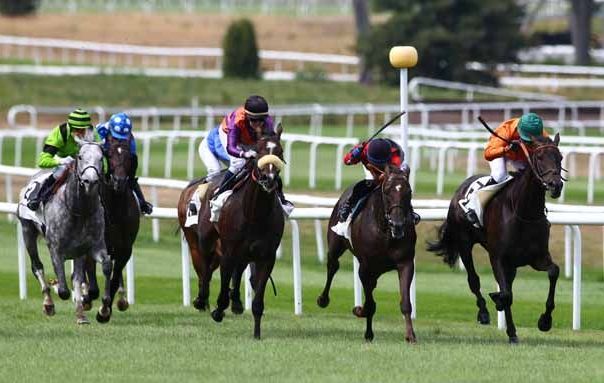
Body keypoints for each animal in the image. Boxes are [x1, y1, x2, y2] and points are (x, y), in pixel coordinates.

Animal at [17, 134, 112, 324]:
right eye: (80, 157)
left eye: (101, 158)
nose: (90, 181)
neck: (79, 209)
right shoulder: (55, 248)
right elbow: (63, 290)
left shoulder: (90, 247)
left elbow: (103, 266)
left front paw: (101, 311)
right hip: (27, 230)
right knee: (37, 266)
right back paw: (48, 304)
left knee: (76, 276)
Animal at [83, 135, 140, 320]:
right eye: (108, 155)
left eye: (129, 156)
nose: (119, 181)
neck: (114, 212)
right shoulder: (92, 246)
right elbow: (93, 284)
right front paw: (87, 299)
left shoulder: (125, 249)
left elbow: (114, 279)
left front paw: (104, 311)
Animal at [314, 164, 418, 342]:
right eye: (387, 191)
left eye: (408, 191)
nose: (397, 224)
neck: (385, 232)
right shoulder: (365, 267)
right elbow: (369, 304)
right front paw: (358, 310)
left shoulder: (405, 263)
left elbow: (405, 302)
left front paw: (410, 335)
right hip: (336, 245)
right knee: (332, 266)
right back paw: (323, 299)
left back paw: (369, 333)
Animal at [428, 135, 564, 344]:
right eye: (540, 157)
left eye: (560, 157)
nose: (555, 185)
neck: (523, 212)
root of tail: (461, 187)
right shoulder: (498, 257)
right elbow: (506, 294)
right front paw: (511, 330)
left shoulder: (537, 257)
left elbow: (553, 272)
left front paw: (545, 321)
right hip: (464, 244)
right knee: (473, 280)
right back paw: (483, 312)